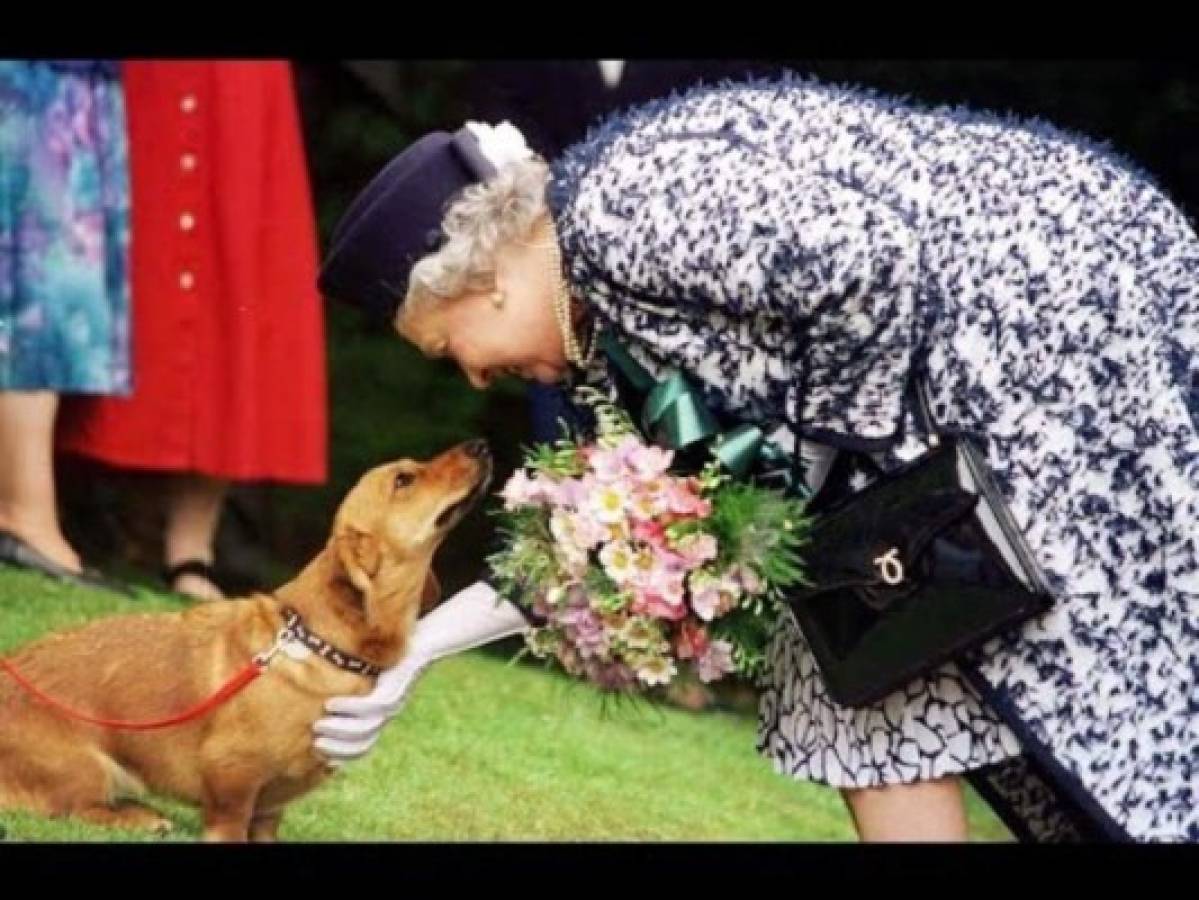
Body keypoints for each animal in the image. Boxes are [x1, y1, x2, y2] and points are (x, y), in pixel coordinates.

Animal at [0, 441, 491, 843]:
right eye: (404, 479)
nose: (481, 444)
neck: (318, 642)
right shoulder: (232, 776)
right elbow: (230, 822)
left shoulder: (270, 807)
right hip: (90, 768)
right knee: (77, 808)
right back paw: (137, 818)